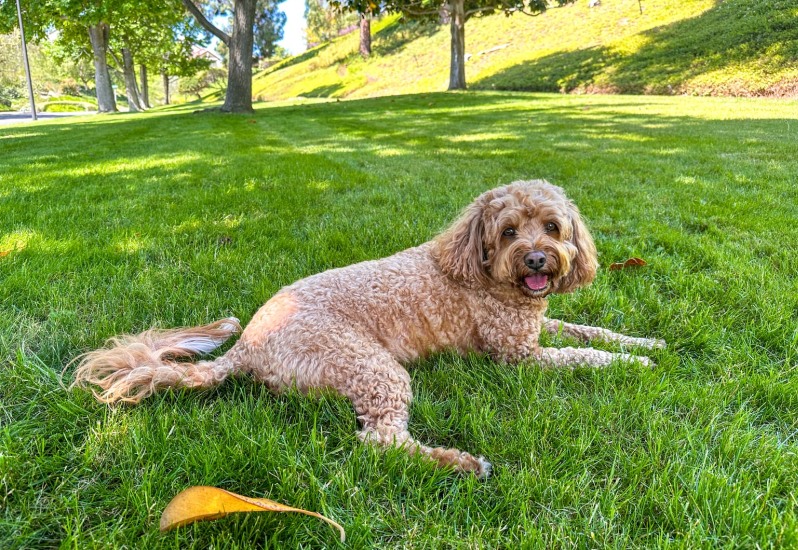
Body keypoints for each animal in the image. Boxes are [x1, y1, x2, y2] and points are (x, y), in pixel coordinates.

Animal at [73, 181, 664, 478]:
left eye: (552, 226)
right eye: (509, 231)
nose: (538, 260)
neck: (481, 271)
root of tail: (247, 347)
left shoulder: (536, 327)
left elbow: (589, 331)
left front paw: (644, 341)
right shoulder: (519, 357)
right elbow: (582, 357)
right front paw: (635, 365)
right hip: (372, 368)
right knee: (380, 440)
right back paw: (459, 463)